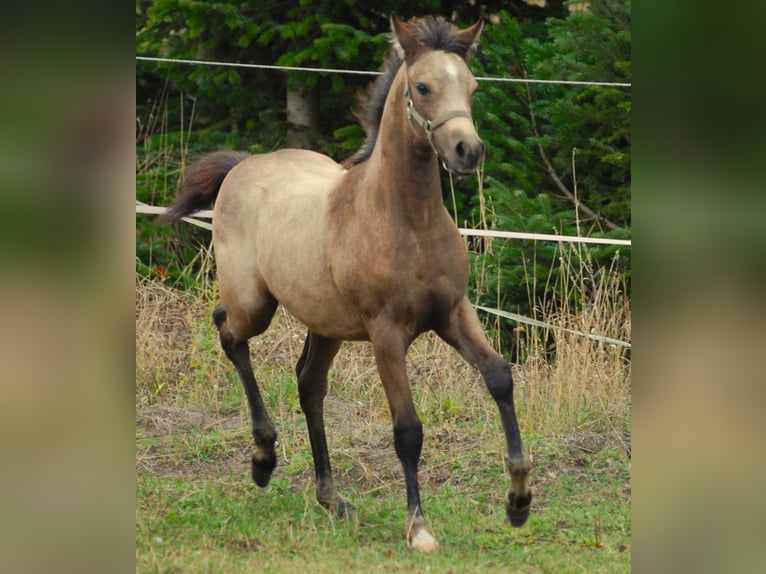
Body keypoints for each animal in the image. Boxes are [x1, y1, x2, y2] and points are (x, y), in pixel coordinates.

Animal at [160, 15, 531, 552]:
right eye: (423, 87)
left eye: (473, 87)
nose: (469, 151)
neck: (407, 221)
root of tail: (243, 164)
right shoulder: (386, 333)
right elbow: (408, 429)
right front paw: (419, 528)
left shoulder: (453, 313)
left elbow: (500, 377)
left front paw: (519, 501)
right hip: (255, 305)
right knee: (227, 331)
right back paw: (263, 460)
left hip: (326, 325)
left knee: (309, 385)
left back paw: (331, 498)